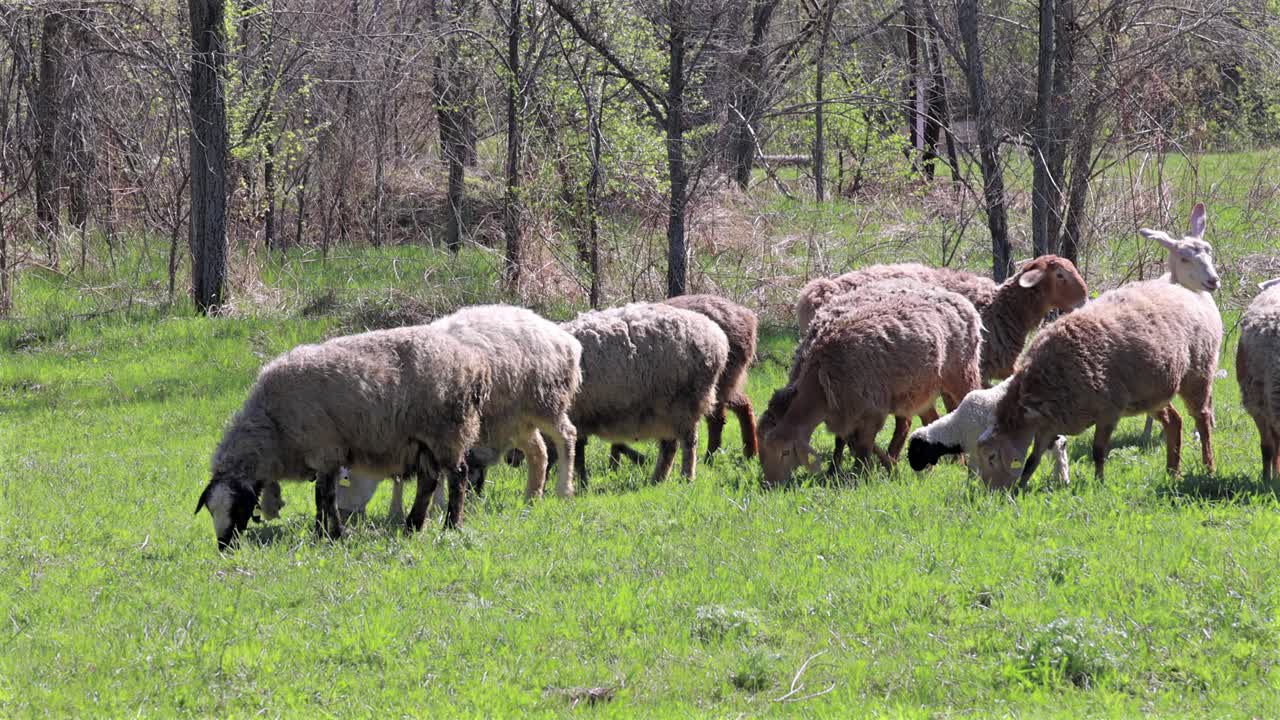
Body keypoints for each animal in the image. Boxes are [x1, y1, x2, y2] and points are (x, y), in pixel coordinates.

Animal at [194, 326, 491, 550]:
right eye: (210, 510)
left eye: (238, 507)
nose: (224, 547)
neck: (272, 427)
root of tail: (473, 362)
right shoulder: (324, 456)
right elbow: (323, 496)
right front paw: (322, 533)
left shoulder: (324, 449)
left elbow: (325, 496)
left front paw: (333, 534)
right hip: (424, 440)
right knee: (428, 481)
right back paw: (413, 526)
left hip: (448, 430)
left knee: (458, 476)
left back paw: (451, 525)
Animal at [607, 294, 759, 466]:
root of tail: (748, 316)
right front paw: (616, 463)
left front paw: (622, 462)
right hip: (727, 381)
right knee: (744, 404)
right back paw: (750, 454)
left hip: (714, 383)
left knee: (718, 419)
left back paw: (709, 459)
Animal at [759, 279, 983, 486]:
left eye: (785, 453)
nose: (771, 484)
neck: (821, 378)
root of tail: (961, 299)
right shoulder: (846, 410)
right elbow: (847, 439)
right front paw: (840, 470)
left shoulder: (870, 409)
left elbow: (863, 445)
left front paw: (864, 475)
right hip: (921, 388)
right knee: (930, 419)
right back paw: (929, 464)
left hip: (962, 373)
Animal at [906, 378, 1070, 485]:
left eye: (917, 450)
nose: (915, 470)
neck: (956, 428)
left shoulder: (974, 448)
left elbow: (972, 472)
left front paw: (971, 487)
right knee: (1059, 443)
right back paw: (1062, 478)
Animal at [975, 278, 1222, 489]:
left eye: (992, 457)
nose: (992, 492)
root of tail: (1185, 291)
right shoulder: (1049, 425)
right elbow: (1032, 460)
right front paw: (1021, 488)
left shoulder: (1107, 413)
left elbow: (1098, 451)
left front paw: (1099, 483)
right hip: (1152, 393)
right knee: (1174, 421)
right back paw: (1172, 471)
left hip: (1198, 372)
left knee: (1203, 420)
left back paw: (1208, 467)